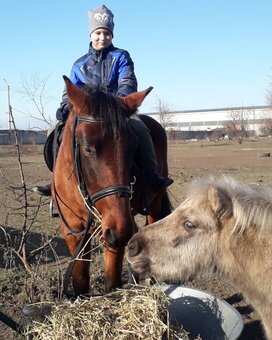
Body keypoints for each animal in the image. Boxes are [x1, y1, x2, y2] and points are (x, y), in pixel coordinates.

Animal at [52, 77, 171, 294]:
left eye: (133, 147)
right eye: (88, 148)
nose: (120, 232)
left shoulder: (110, 233)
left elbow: (113, 283)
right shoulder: (73, 231)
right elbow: (80, 281)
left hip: (153, 205)